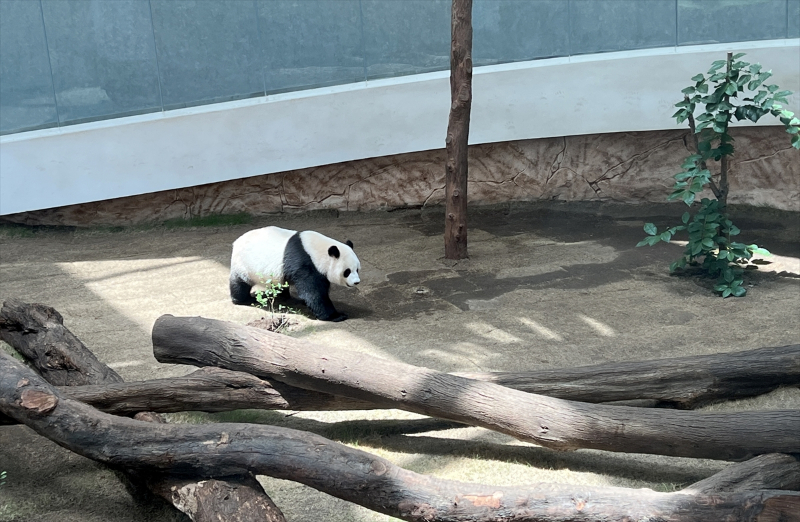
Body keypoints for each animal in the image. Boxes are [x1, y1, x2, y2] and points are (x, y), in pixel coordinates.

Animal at [229, 226, 361, 322]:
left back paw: (285, 297)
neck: (317, 251)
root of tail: (236, 241)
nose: (356, 282)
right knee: (240, 283)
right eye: (347, 271)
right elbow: (313, 292)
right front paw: (337, 315)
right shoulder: (304, 263)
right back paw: (243, 299)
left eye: (357, 269)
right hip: (243, 263)